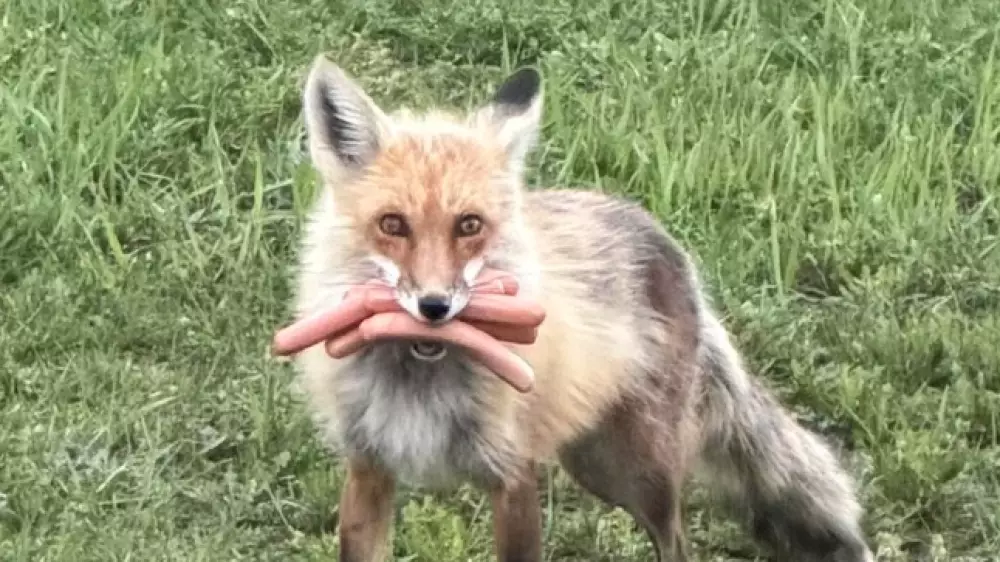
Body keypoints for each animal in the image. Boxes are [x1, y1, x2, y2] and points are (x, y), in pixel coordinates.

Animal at [287, 54, 876, 562]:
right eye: (392, 225)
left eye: (469, 225)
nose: (435, 307)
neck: (419, 379)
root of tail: (663, 237)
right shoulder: (368, 468)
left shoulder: (513, 473)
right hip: (592, 458)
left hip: (636, 471)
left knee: (677, 542)